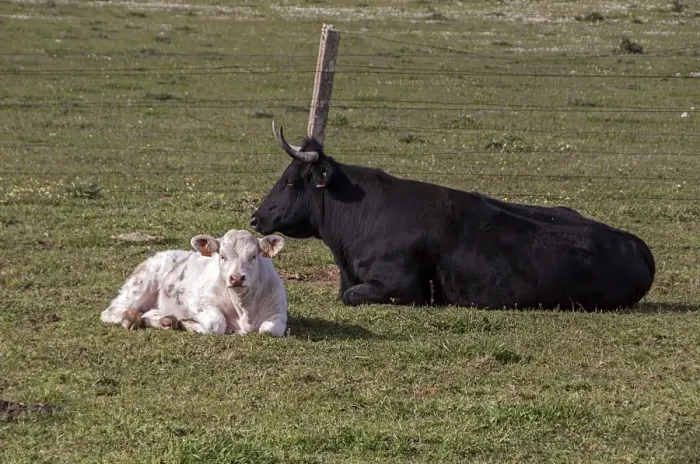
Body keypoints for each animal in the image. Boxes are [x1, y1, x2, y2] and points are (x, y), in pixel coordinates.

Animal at [100, 229, 288, 336]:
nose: (236, 278)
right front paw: (188, 323)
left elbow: (269, 330)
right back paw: (132, 318)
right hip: (140, 285)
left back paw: (166, 320)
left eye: (254, 256)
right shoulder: (196, 302)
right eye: (222, 256)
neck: (243, 310)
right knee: (112, 312)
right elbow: (216, 323)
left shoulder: (279, 311)